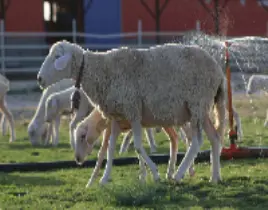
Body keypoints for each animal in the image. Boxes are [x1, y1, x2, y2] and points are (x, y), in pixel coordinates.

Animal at [37, 40, 226, 185]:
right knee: (214, 138)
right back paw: (215, 177)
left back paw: (179, 174)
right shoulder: (116, 116)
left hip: (197, 103)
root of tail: (219, 72)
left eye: (56, 57)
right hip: (201, 109)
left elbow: (137, 146)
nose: (39, 79)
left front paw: (155, 173)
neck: (101, 71)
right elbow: (110, 149)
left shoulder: (133, 110)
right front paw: (104, 179)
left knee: (197, 141)